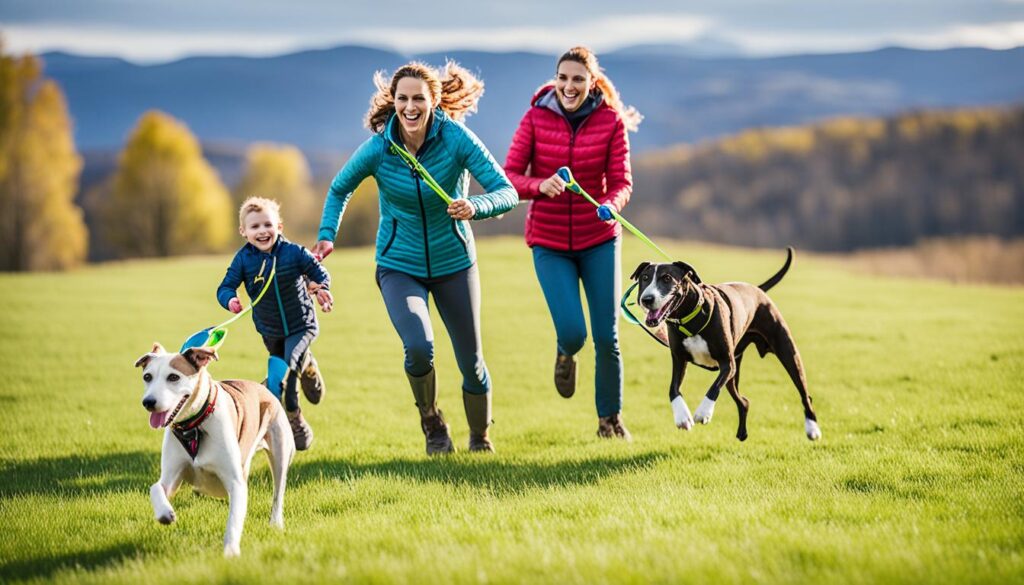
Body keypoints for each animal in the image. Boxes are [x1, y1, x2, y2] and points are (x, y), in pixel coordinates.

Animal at [134, 344, 294, 557]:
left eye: (173, 377)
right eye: (147, 377)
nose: (148, 402)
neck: (193, 427)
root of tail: (263, 387)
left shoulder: (236, 483)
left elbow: (234, 520)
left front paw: (231, 551)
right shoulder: (171, 477)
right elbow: (155, 488)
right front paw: (164, 513)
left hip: (280, 451)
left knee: (278, 491)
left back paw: (276, 523)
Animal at [626, 247, 819, 444]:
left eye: (666, 278)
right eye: (644, 278)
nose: (647, 299)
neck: (691, 318)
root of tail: (757, 289)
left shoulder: (727, 363)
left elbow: (713, 387)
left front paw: (703, 412)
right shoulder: (680, 360)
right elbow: (673, 388)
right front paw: (682, 416)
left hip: (787, 351)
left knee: (805, 394)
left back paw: (812, 428)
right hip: (734, 375)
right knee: (744, 401)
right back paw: (742, 433)